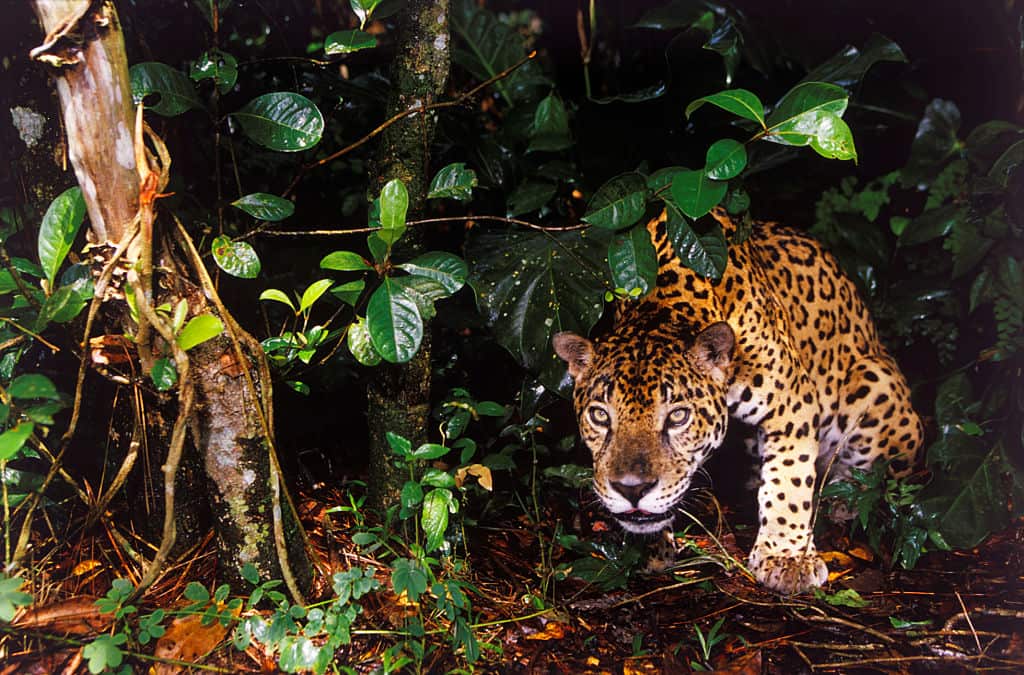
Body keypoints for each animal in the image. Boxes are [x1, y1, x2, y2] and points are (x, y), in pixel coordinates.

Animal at [553, 208, 923, 594]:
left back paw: (842, 499)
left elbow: (789, 479)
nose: (632, 489)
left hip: (876, 386)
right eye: (600, 416)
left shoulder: (791, 403)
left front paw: (787, 557)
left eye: (678, 417)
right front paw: (646, 547)